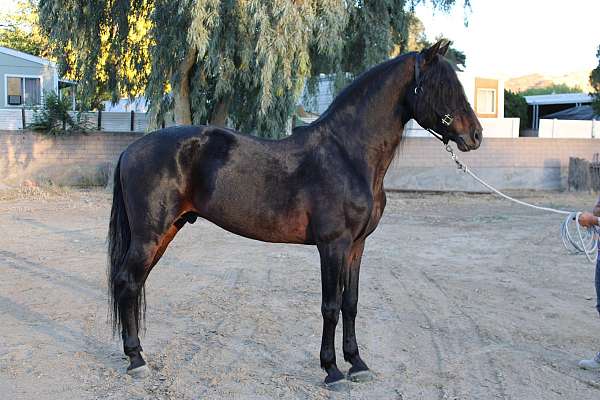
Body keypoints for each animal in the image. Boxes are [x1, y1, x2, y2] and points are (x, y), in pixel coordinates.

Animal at [108, 39, 482, 386]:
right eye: (442, 86)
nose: (475, 135)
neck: (347, 155)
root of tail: (130, 149)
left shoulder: (356, 246)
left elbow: (351, 303)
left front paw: (357, 364)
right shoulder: (332, 246)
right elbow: (330, 306)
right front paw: (332, 370)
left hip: (166, 232)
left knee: (135, 284)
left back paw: (136, 353)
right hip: (149, 235)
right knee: (127, 282)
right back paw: (136, 360)